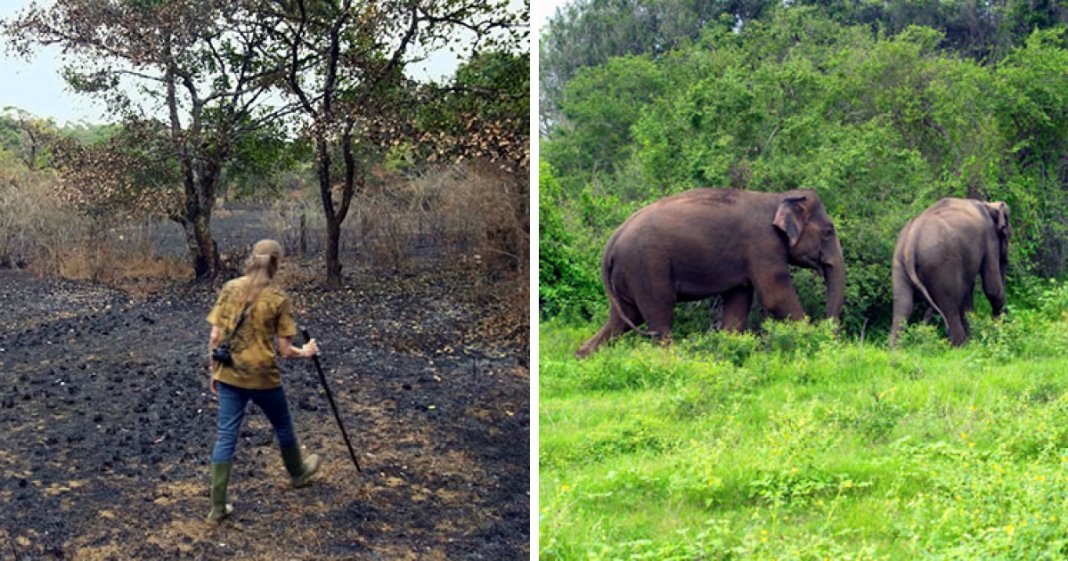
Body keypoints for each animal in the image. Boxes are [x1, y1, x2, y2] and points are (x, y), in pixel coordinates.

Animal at [576, 185, 841, 356]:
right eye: (829, 231)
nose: (831, 334)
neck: (779, 197)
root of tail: (611, 242)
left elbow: (738, 301)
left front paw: (728, 348)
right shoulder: (763, 247)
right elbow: (774, 297)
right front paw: (813, 341)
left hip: (626, 275)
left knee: (624, 317)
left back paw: (583, 356)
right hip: (645, 268)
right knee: (658, 313)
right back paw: (671, 360)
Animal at [892, 196, 1008, 346]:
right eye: (1006, 232)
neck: (988, 204)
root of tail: (911, 241)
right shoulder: (990, 238)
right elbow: (992, 288)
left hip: (899, 262)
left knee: (903, 304)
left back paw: (896, 348)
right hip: (940, 264)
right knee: (950, 304)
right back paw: (961, 346)